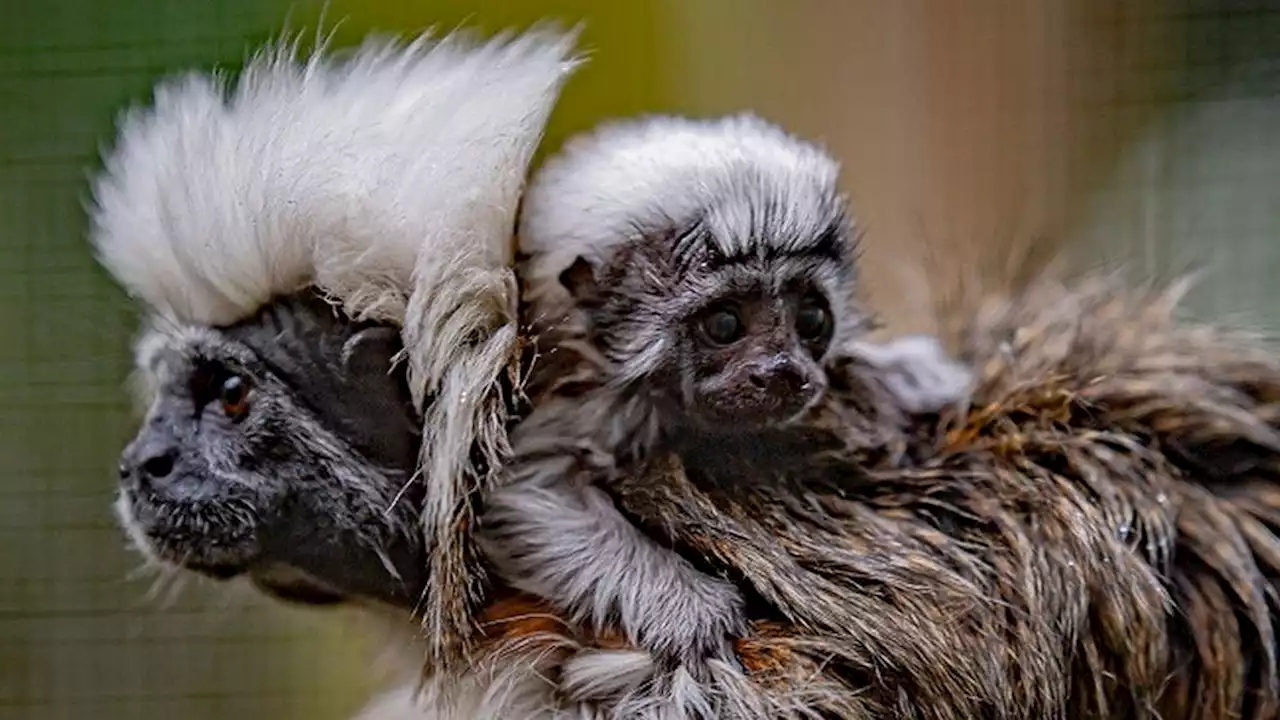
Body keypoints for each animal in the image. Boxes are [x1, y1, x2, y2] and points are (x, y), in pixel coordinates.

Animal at [478, 113, 967, 712]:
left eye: (811, 318)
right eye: (725, 324)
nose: (781, 371)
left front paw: (905, 376)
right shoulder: (594, 400)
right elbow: (522, 492)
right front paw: (686, 609)